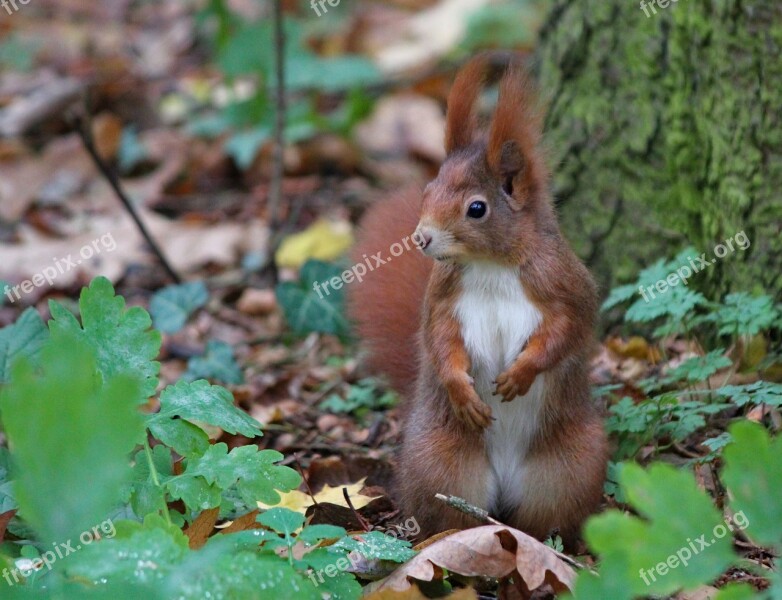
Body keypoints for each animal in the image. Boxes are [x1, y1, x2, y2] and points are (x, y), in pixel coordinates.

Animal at [350, 58, 612, 548]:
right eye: (427, 190)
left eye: (477, 208)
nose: (422, 238)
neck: (489, 265)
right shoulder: (443, 299)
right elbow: (440, 341)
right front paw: (461, 390)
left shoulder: (563, 285)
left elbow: (567, 330)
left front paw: (520, 374)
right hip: (442, 463)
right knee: (453, 514)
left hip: (571, 466)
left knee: (547, 515)